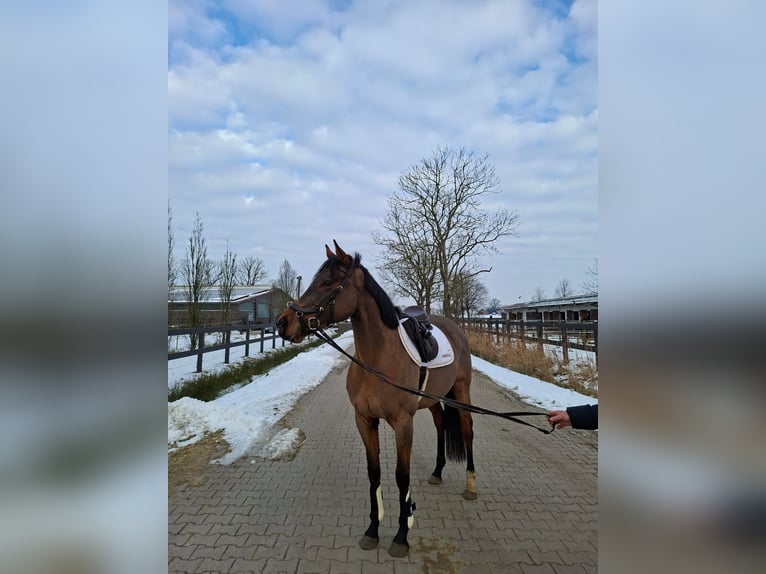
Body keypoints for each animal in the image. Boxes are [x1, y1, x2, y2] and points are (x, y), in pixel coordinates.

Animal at [276, 241, 476, 558]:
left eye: (328, 282)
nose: (283, 324)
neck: (378, 359)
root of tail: (454, 327)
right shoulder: (365, 420)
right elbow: (374, 474)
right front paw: (372, 529)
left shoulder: (403, 424)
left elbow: (401, 476)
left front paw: (402, 535)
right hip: (433, 399)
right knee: (441, 424)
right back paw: (437, 471)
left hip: (461, 392)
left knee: (467, 431)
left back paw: (470, 487)